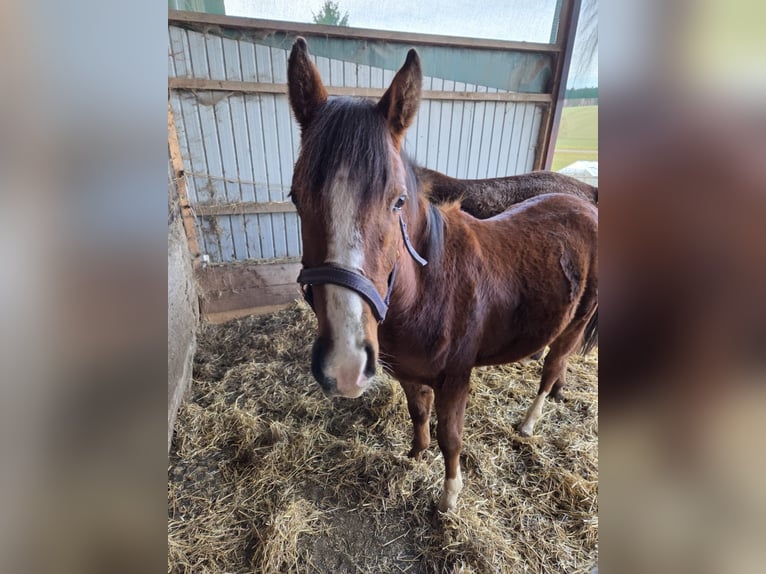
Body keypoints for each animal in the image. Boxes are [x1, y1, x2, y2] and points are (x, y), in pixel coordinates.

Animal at [287, 38, 598, 512]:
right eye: (295, 197)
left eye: (398, 201)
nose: (345, 364)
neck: (429, 291)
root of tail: (588, 203)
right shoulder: (408, 373)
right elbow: (419, 415)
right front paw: (415, 455)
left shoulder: (456, 379)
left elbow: (451, 436)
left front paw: (449, 495)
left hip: (576, 323)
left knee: (552, 368)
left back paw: (529, 423)